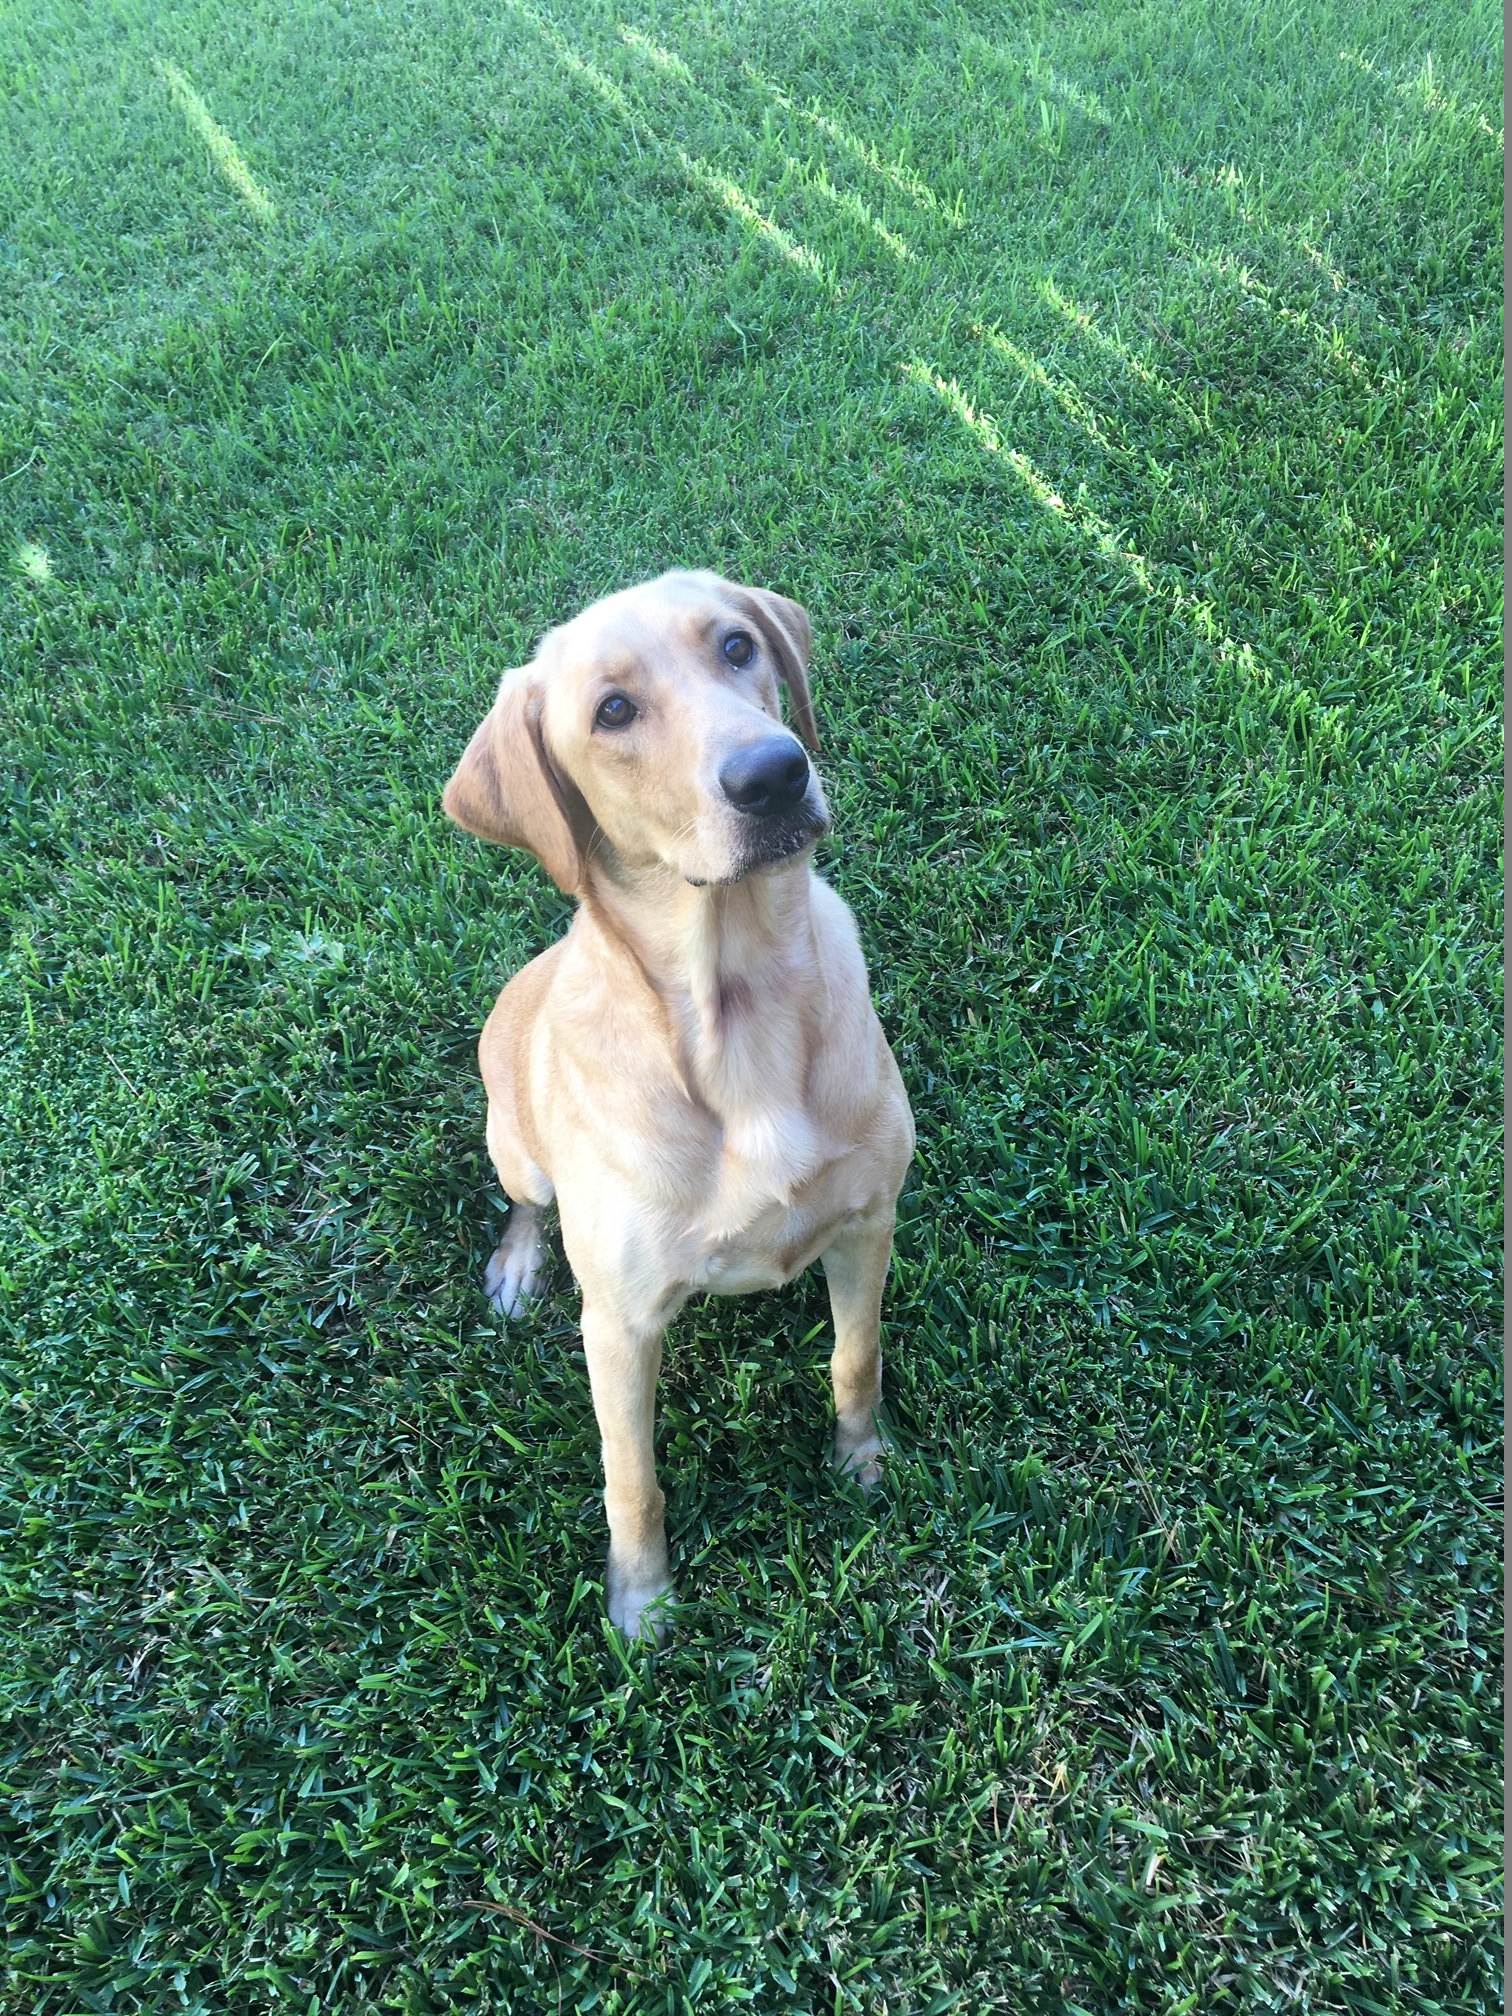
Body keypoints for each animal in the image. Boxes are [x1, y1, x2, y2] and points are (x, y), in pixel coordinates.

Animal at [443, 568, 919, 1636]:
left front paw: (863, 1464)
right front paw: (643, 1601)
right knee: (525, 1202)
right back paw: (517, 1266)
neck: (738, 1010)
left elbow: (856, 1359)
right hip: (515, 1148)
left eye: (737, 646)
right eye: (613, 711)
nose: (775, 773)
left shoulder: (868, 1222)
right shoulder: (618, 1326)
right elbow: (632, 1477)